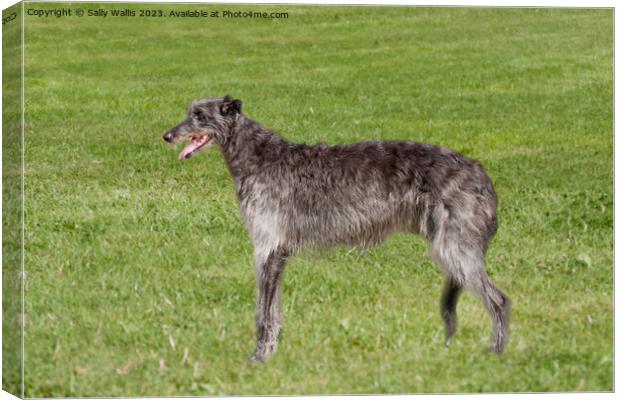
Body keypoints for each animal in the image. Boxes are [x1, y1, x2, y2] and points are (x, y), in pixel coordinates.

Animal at [162, 94, 512, 362]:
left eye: (199, 115)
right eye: (189, 111)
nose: (167, 136)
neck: (256, 157)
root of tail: (481, 174)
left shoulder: (267, 249)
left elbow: (263, 313)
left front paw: (258, 358)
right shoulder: (277, 253)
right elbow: (275, 313)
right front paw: (272, 353)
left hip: (455, 248)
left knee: (500, 300)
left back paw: (496, 354)